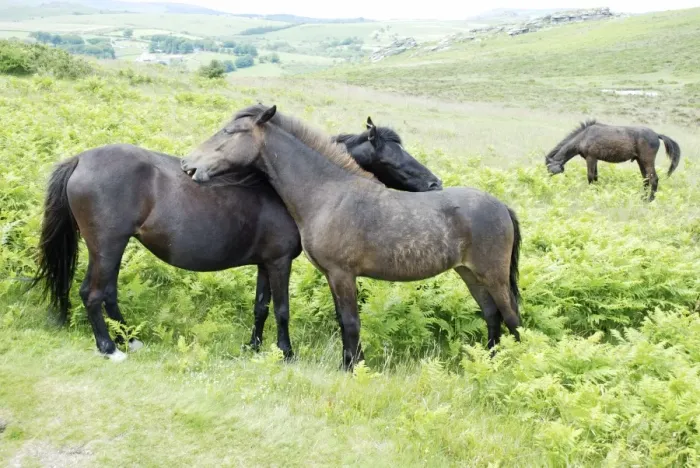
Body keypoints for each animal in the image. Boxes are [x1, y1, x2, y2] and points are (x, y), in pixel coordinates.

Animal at [29, 119, 443, 363]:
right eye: (393, 153)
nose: (435, 183)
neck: (285, 188)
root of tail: (81, 159)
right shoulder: (279, 262)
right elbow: (281, 309)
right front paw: (286, 353)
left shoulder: (264, 262)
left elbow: (260, 307)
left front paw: (254, 347)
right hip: (107, 245)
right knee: (93, 294)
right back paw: (111, 349)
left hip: (112, 248)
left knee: (108, 293)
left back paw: (131, 340)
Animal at [181, 104, 522, 371]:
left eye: (229, 132)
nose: (188, 164)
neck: (329, 193)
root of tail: (502, 206)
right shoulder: (332, 276)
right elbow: (342, 320)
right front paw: (348, 362)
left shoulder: (342, 274)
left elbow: (350, 322)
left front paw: (352, 367)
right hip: (470, 274)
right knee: (492, 315)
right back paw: (490, 361)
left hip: (493, 276)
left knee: (512, 317)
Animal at [544, 119, 681, 201]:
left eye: (549, 169)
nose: (548, 184)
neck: (583, 136)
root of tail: (656, 135)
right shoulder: (595, 160)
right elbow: (595, 177)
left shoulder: (591, 158)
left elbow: (590, 177)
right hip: (640, 161)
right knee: (646, 180)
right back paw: (642, 198)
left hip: (647, 161)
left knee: (654, 179)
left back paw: (649, 200)